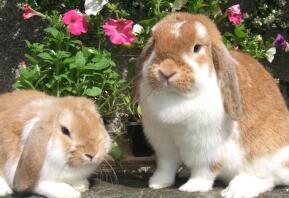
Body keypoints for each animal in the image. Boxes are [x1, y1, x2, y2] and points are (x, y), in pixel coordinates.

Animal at [135, 12, 288, 198]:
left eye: (197, 48)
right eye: (154, 44)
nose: (166, 71)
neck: (175, 97)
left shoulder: (207, 148)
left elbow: (204, 170)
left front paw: (192, 187)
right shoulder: (164, 144)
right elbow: (166, 166)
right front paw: (157, 183)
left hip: (264, 155)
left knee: (267, 178)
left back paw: (236, 190)